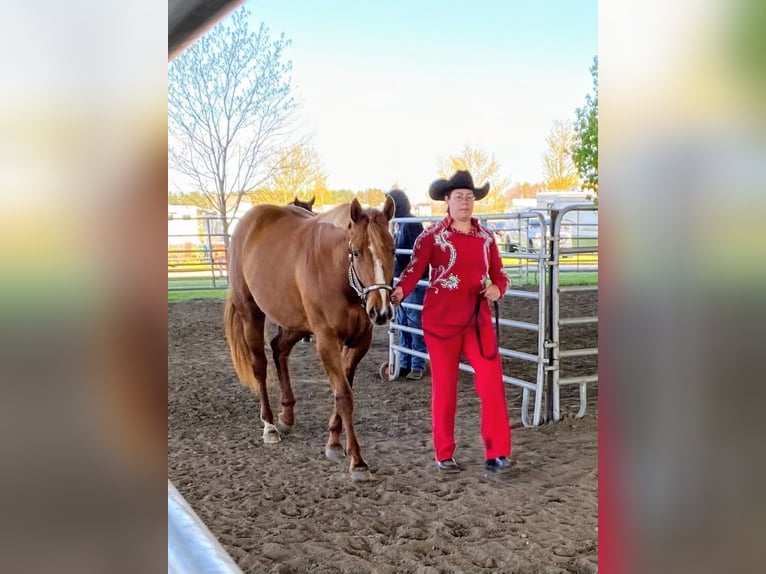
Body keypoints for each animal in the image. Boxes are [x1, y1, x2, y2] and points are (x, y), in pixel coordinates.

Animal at [224, 197, 396, 481]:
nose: (380, 310)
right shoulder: (326, 340)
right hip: (251, 314)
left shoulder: (359, 341)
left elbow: (344, 389)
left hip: (296, 322)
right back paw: (270, 425)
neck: (336, 271)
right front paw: (357, 461)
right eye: (356, 252)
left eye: (392, 250)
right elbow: (344, 395)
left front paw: (335, 442)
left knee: (279, 349)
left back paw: (287, 412)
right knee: (260, 366)